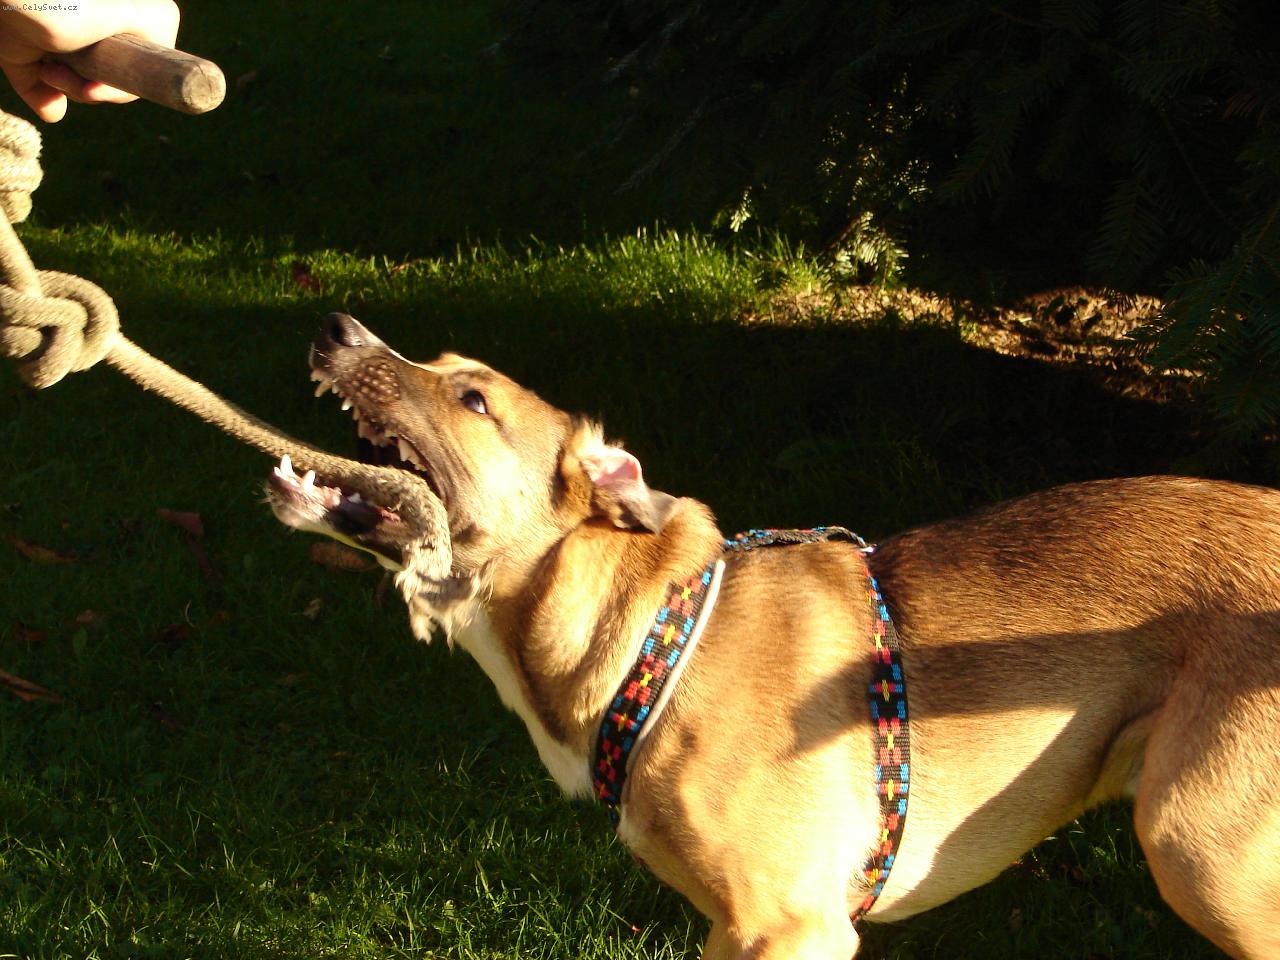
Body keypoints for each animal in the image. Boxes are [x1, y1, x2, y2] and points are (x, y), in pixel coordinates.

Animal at [267, 312, 1280, 960]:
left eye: (473, 400)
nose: (336, 327)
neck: (656, 644)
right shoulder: (732, 930)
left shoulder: (795, 928)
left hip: (1201, 849)